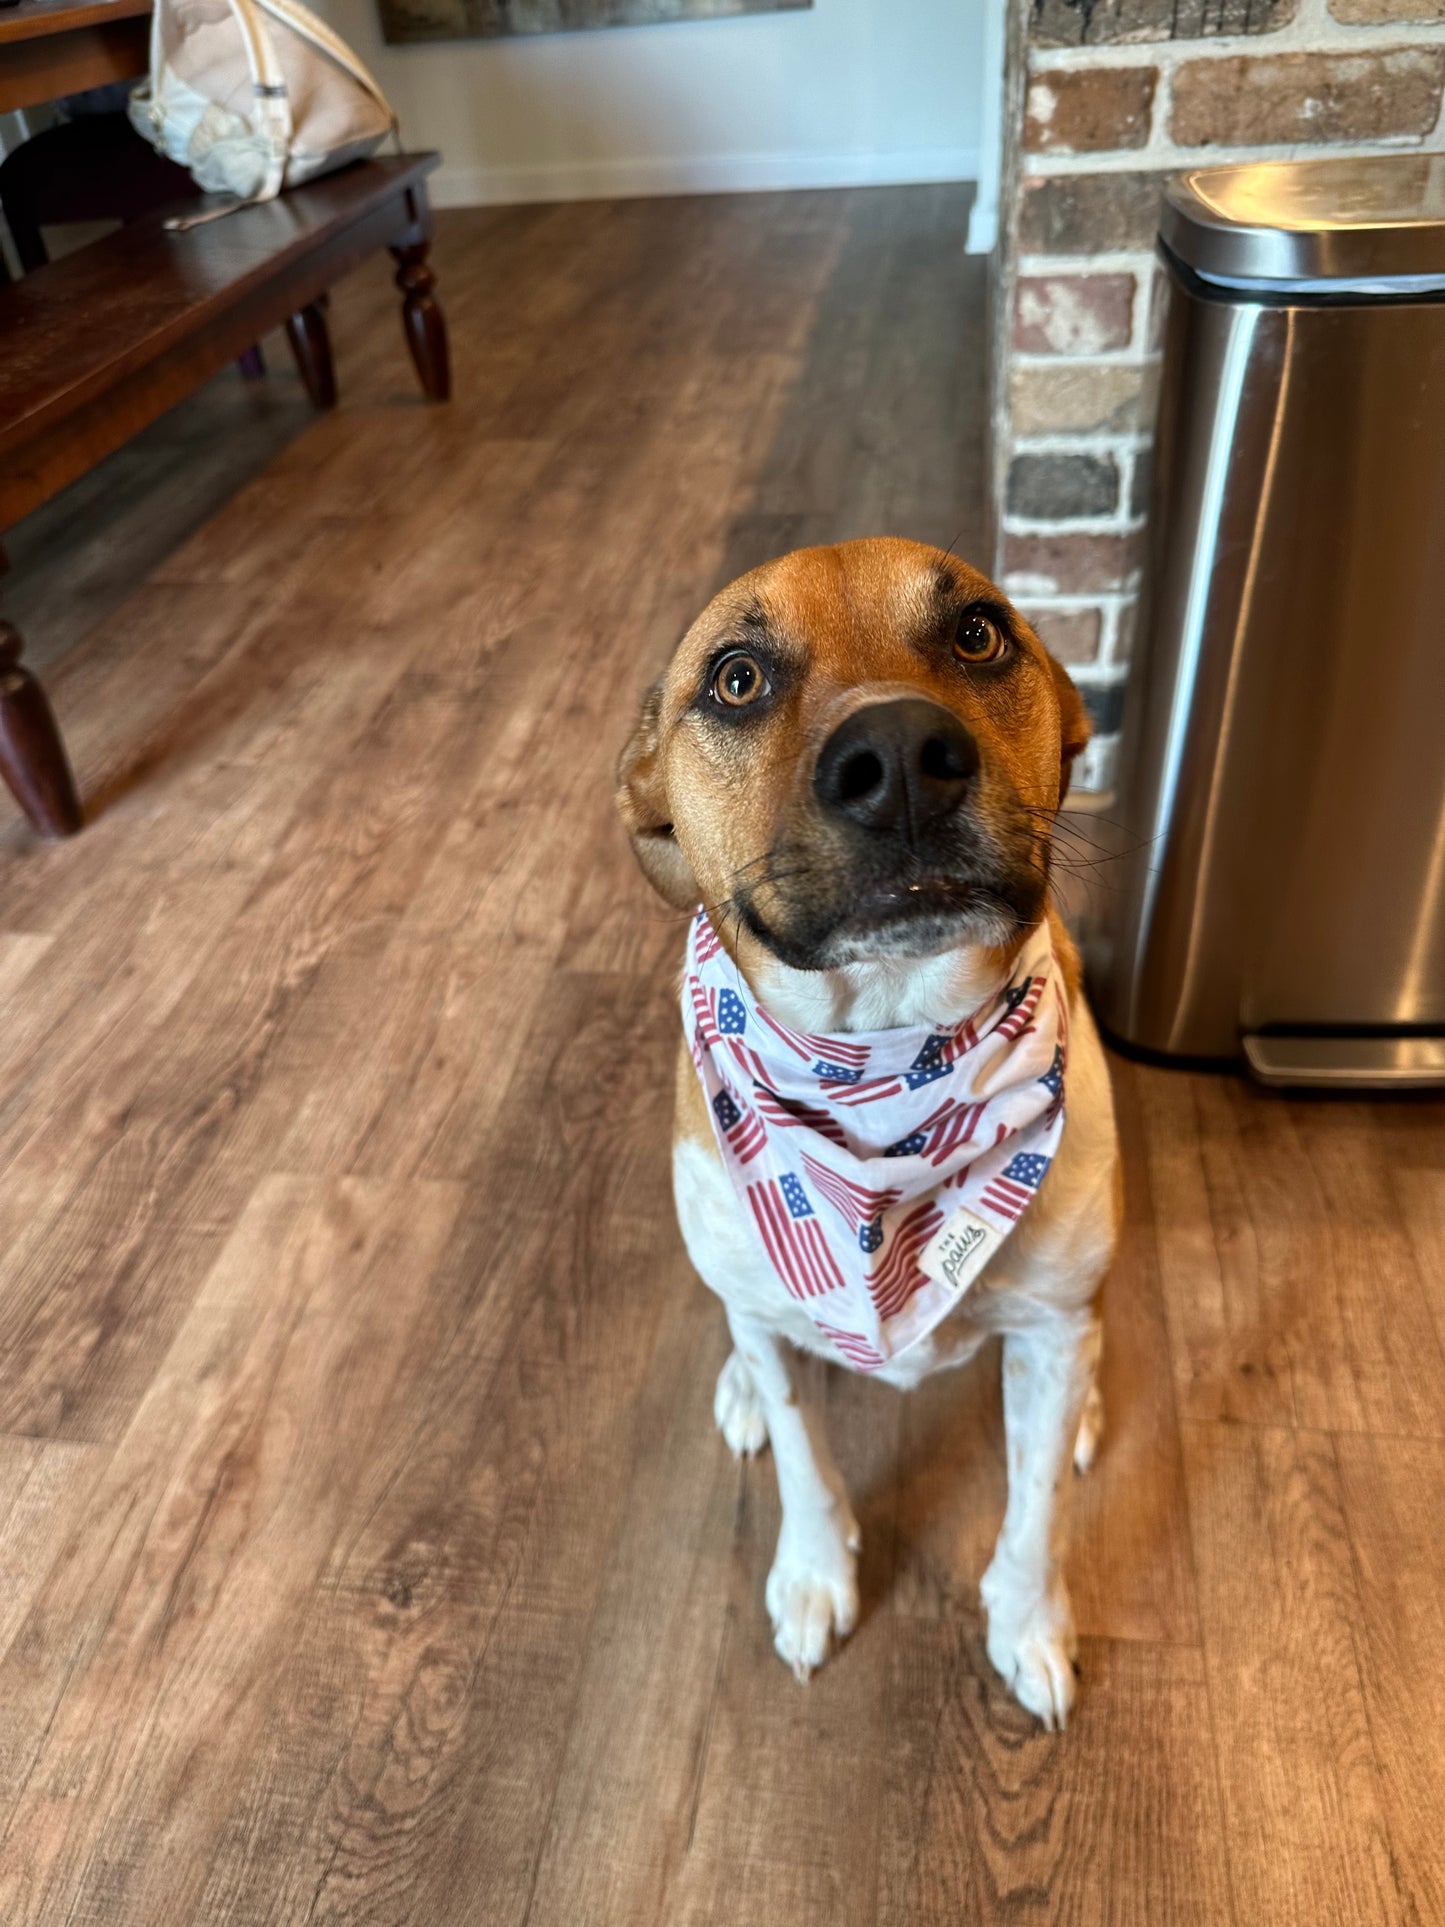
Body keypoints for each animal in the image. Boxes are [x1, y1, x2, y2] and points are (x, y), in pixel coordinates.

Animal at [616, 535, 1125, 1726]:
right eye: (736, 679)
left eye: (978, 632)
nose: (896, 756)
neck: (889, 1070)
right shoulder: (771, 1308)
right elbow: (806, 1459)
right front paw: (812, 1573)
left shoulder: (1049, 1325)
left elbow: (1034, 1507)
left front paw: (1027, 1622)